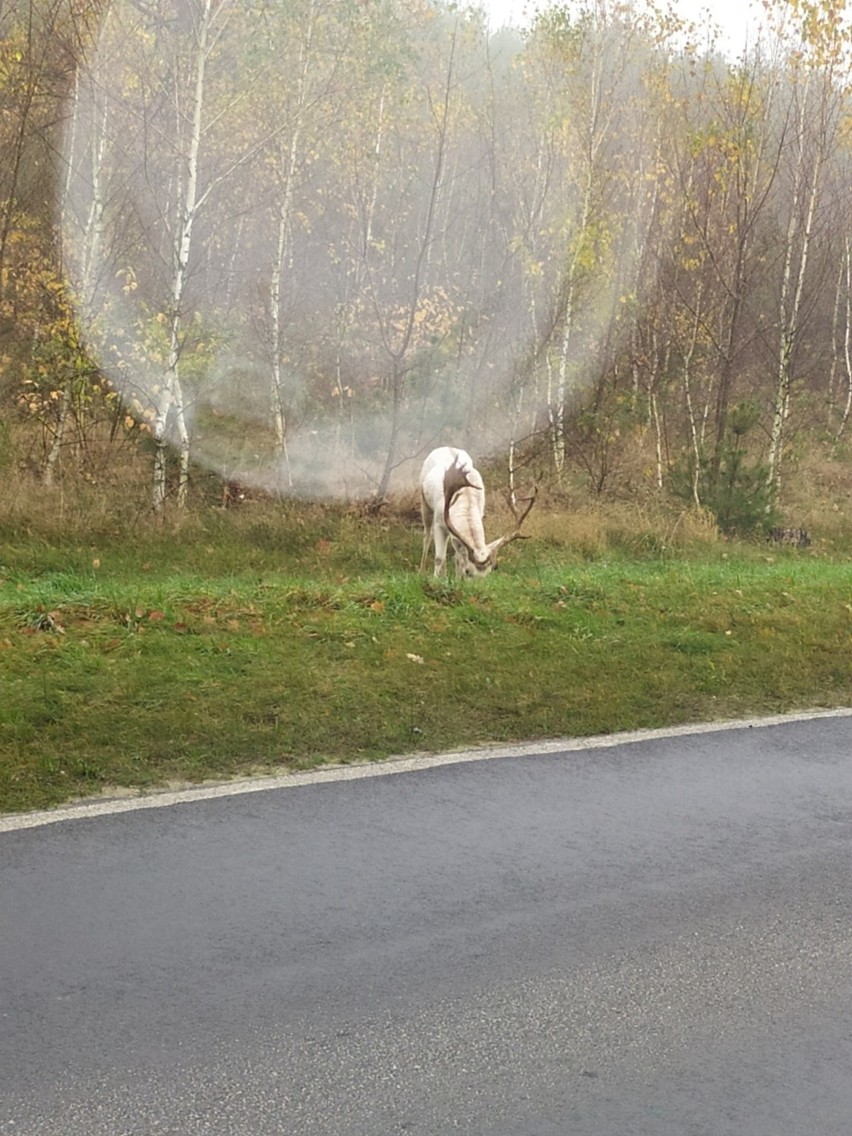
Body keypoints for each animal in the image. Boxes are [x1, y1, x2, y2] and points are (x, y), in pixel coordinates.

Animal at [418, 445, 536, 577]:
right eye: (468, 571)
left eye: (490, 571)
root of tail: (445, 447)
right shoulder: (439, 522)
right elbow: (439, 558)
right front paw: (436, 578)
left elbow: (458, 558)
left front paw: (456, 577)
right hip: (424, 502)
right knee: (427, 536)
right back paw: (422, 570)